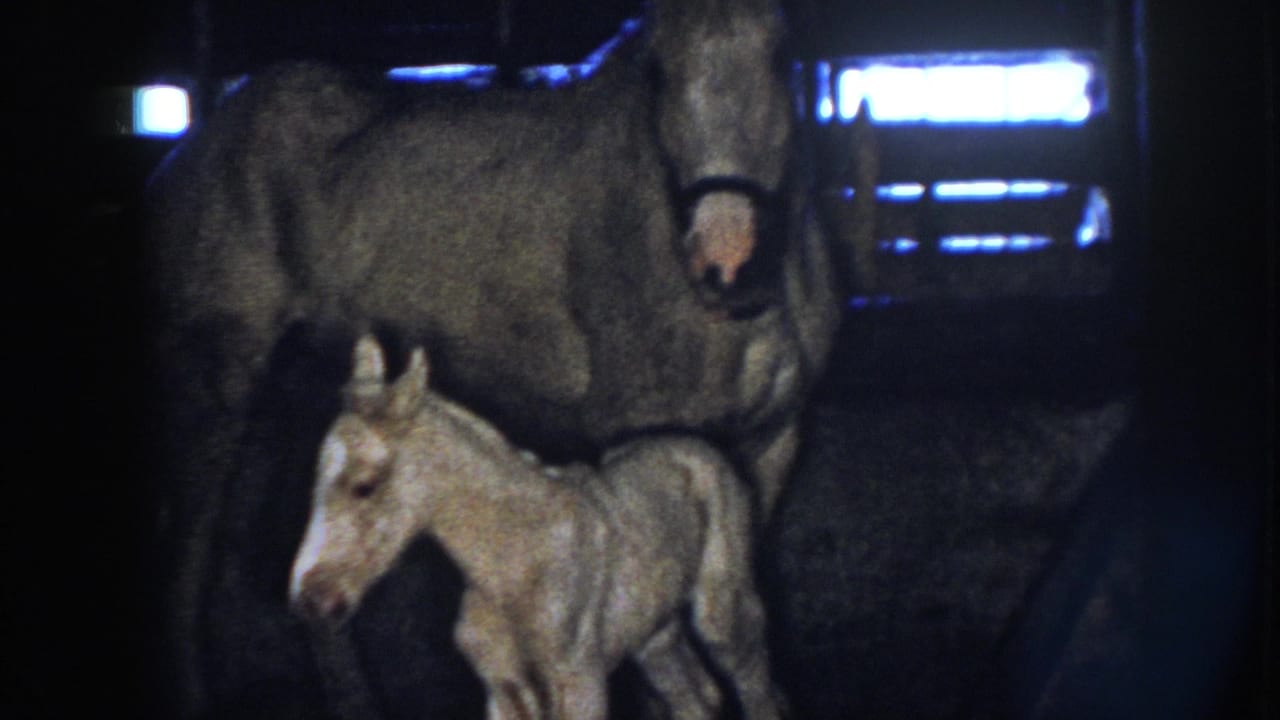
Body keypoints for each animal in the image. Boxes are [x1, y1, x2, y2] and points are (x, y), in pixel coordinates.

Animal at [289, 335, 783, 720]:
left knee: (756, 687)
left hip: (724, 614)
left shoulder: (581, 686)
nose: (309, 597)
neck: (516, 564)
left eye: (364, 486)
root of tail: (697, 448)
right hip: (654, 636)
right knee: (696, 700)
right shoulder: (503, 690)